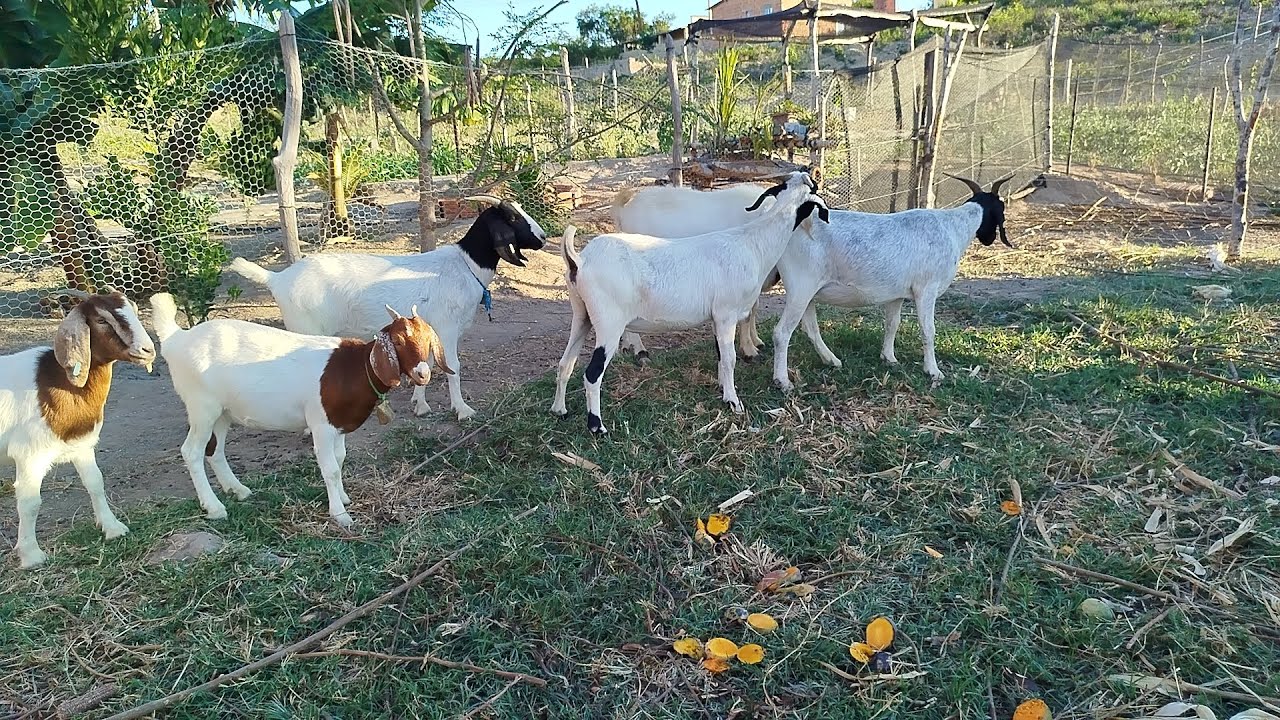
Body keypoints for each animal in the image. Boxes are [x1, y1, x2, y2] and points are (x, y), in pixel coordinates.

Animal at [1, 290, 156, 568]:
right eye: (101, 320)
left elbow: (95, 482)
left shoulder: (82, 446)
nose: (147, 350)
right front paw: (31, 556)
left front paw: (112, 527)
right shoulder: (29, 455)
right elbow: (30, 502)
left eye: (135, 311)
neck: (58, 384)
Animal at [150, 293, 451, 527]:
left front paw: (343, 498)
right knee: (192, 452)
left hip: (223, 412)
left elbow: (340, 459)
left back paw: (238, 490)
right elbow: (330, 468)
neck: (355, 369)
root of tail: (176, 340)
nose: (423, 373)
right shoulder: (320, 425)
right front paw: (340, 515)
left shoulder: (337, 425)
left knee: (215, 450)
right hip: (202, 407)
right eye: (398, 342)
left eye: (428, 338)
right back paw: (214, 508)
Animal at [229, 195, 545, 421]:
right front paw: (463, 410)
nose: (542, 238)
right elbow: (452, 366)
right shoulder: (446, 327)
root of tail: (277, 278)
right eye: (513, 217)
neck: (465, 264)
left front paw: (420, 404)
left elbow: (428, 362)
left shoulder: (427, 330)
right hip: (303, 327)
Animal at [610, 182, 778, 361]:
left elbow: (754, 308)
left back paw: (626, 346)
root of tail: (625, 211)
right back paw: (640, 350)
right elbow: (747, 314)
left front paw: (756, 341)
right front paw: (749, 349)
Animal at [771, 173, 1013, 390]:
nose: (990, 239)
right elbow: (928, 329)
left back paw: (832, 360)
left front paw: (889, 358)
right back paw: (783, 381)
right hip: (801, 287)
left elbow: (892, 324)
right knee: (782, 332)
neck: (953, 228)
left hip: (808, 293)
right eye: (1000, 210)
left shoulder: (896, 295)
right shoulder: (926, 288)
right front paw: (933, 371)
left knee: (810, 328)